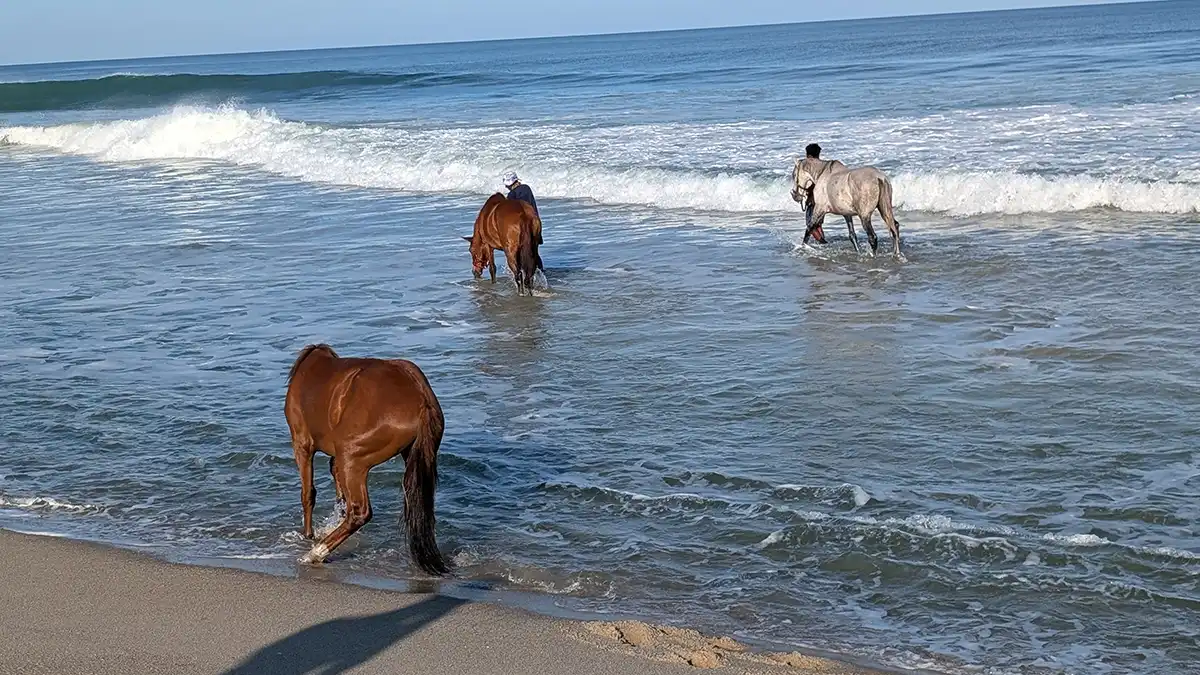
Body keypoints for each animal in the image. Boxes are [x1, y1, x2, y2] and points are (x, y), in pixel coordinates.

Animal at [284, 344, 449, 576]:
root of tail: (420, 398)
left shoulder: (302, 444)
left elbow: (308, 494)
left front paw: (308, 535)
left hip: (352, 458)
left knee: (360, 513)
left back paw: (315, 553)